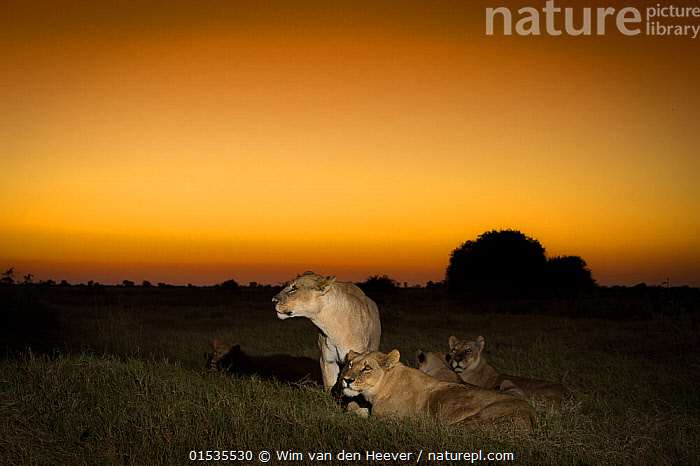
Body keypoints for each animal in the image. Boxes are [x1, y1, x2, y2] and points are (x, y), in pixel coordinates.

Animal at [341, 349, 535, 432]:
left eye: (367, 368)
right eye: (350, 364)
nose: (346, 380)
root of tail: (532, 413)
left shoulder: (389, 420)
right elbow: (357, 409)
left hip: (475, 421)